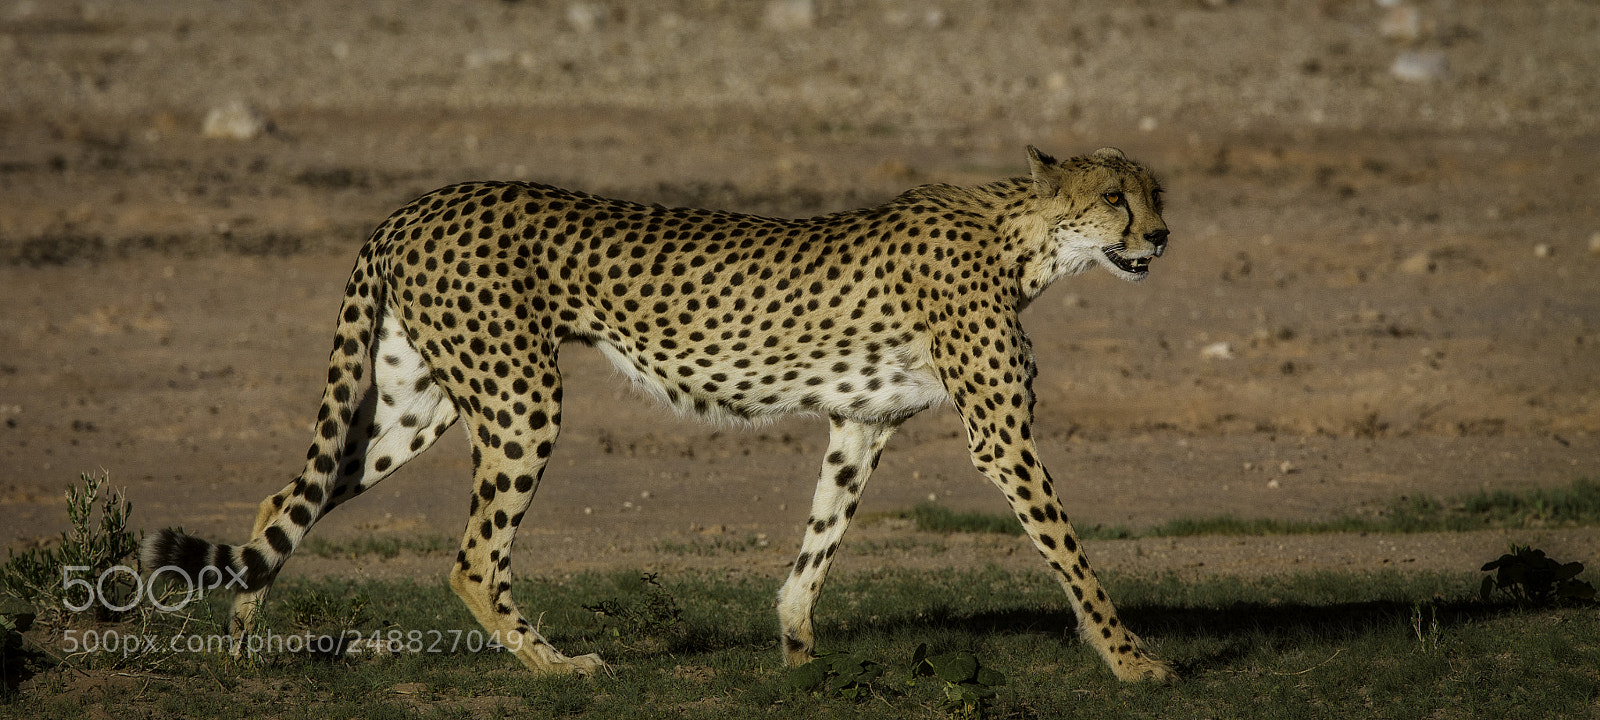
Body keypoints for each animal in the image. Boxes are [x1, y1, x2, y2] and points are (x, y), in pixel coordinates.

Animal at [142, 145, 1175, 682]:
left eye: (1155, 193)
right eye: (1113, 197)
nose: (1162, 236)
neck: (1023, 240)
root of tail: (416, 204)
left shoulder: (861, 426)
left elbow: (819, 540)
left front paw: (796, 649)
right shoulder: (1001, 437)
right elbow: (1070, 552)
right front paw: (1134, 662)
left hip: (421, 398)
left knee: (290, 498)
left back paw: (246, 638)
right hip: (519, 398)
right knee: (471, 556)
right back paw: (555, 668)